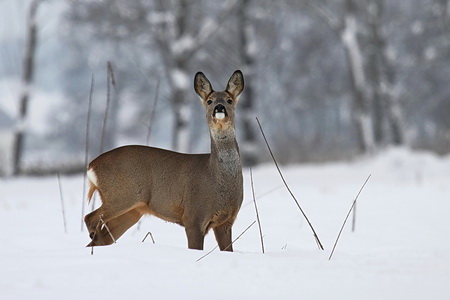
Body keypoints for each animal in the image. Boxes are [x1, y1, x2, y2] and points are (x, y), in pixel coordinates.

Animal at [84, 69, 246, 251]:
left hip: (132, 210)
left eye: (229, 100)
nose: (219, 107)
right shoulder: (193, 217)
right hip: (122, 194)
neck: (217, 180)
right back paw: (93, 234)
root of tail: (92, 165)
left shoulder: (226, 221)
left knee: (101, 237)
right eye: (209, 101)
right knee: (90, 218)